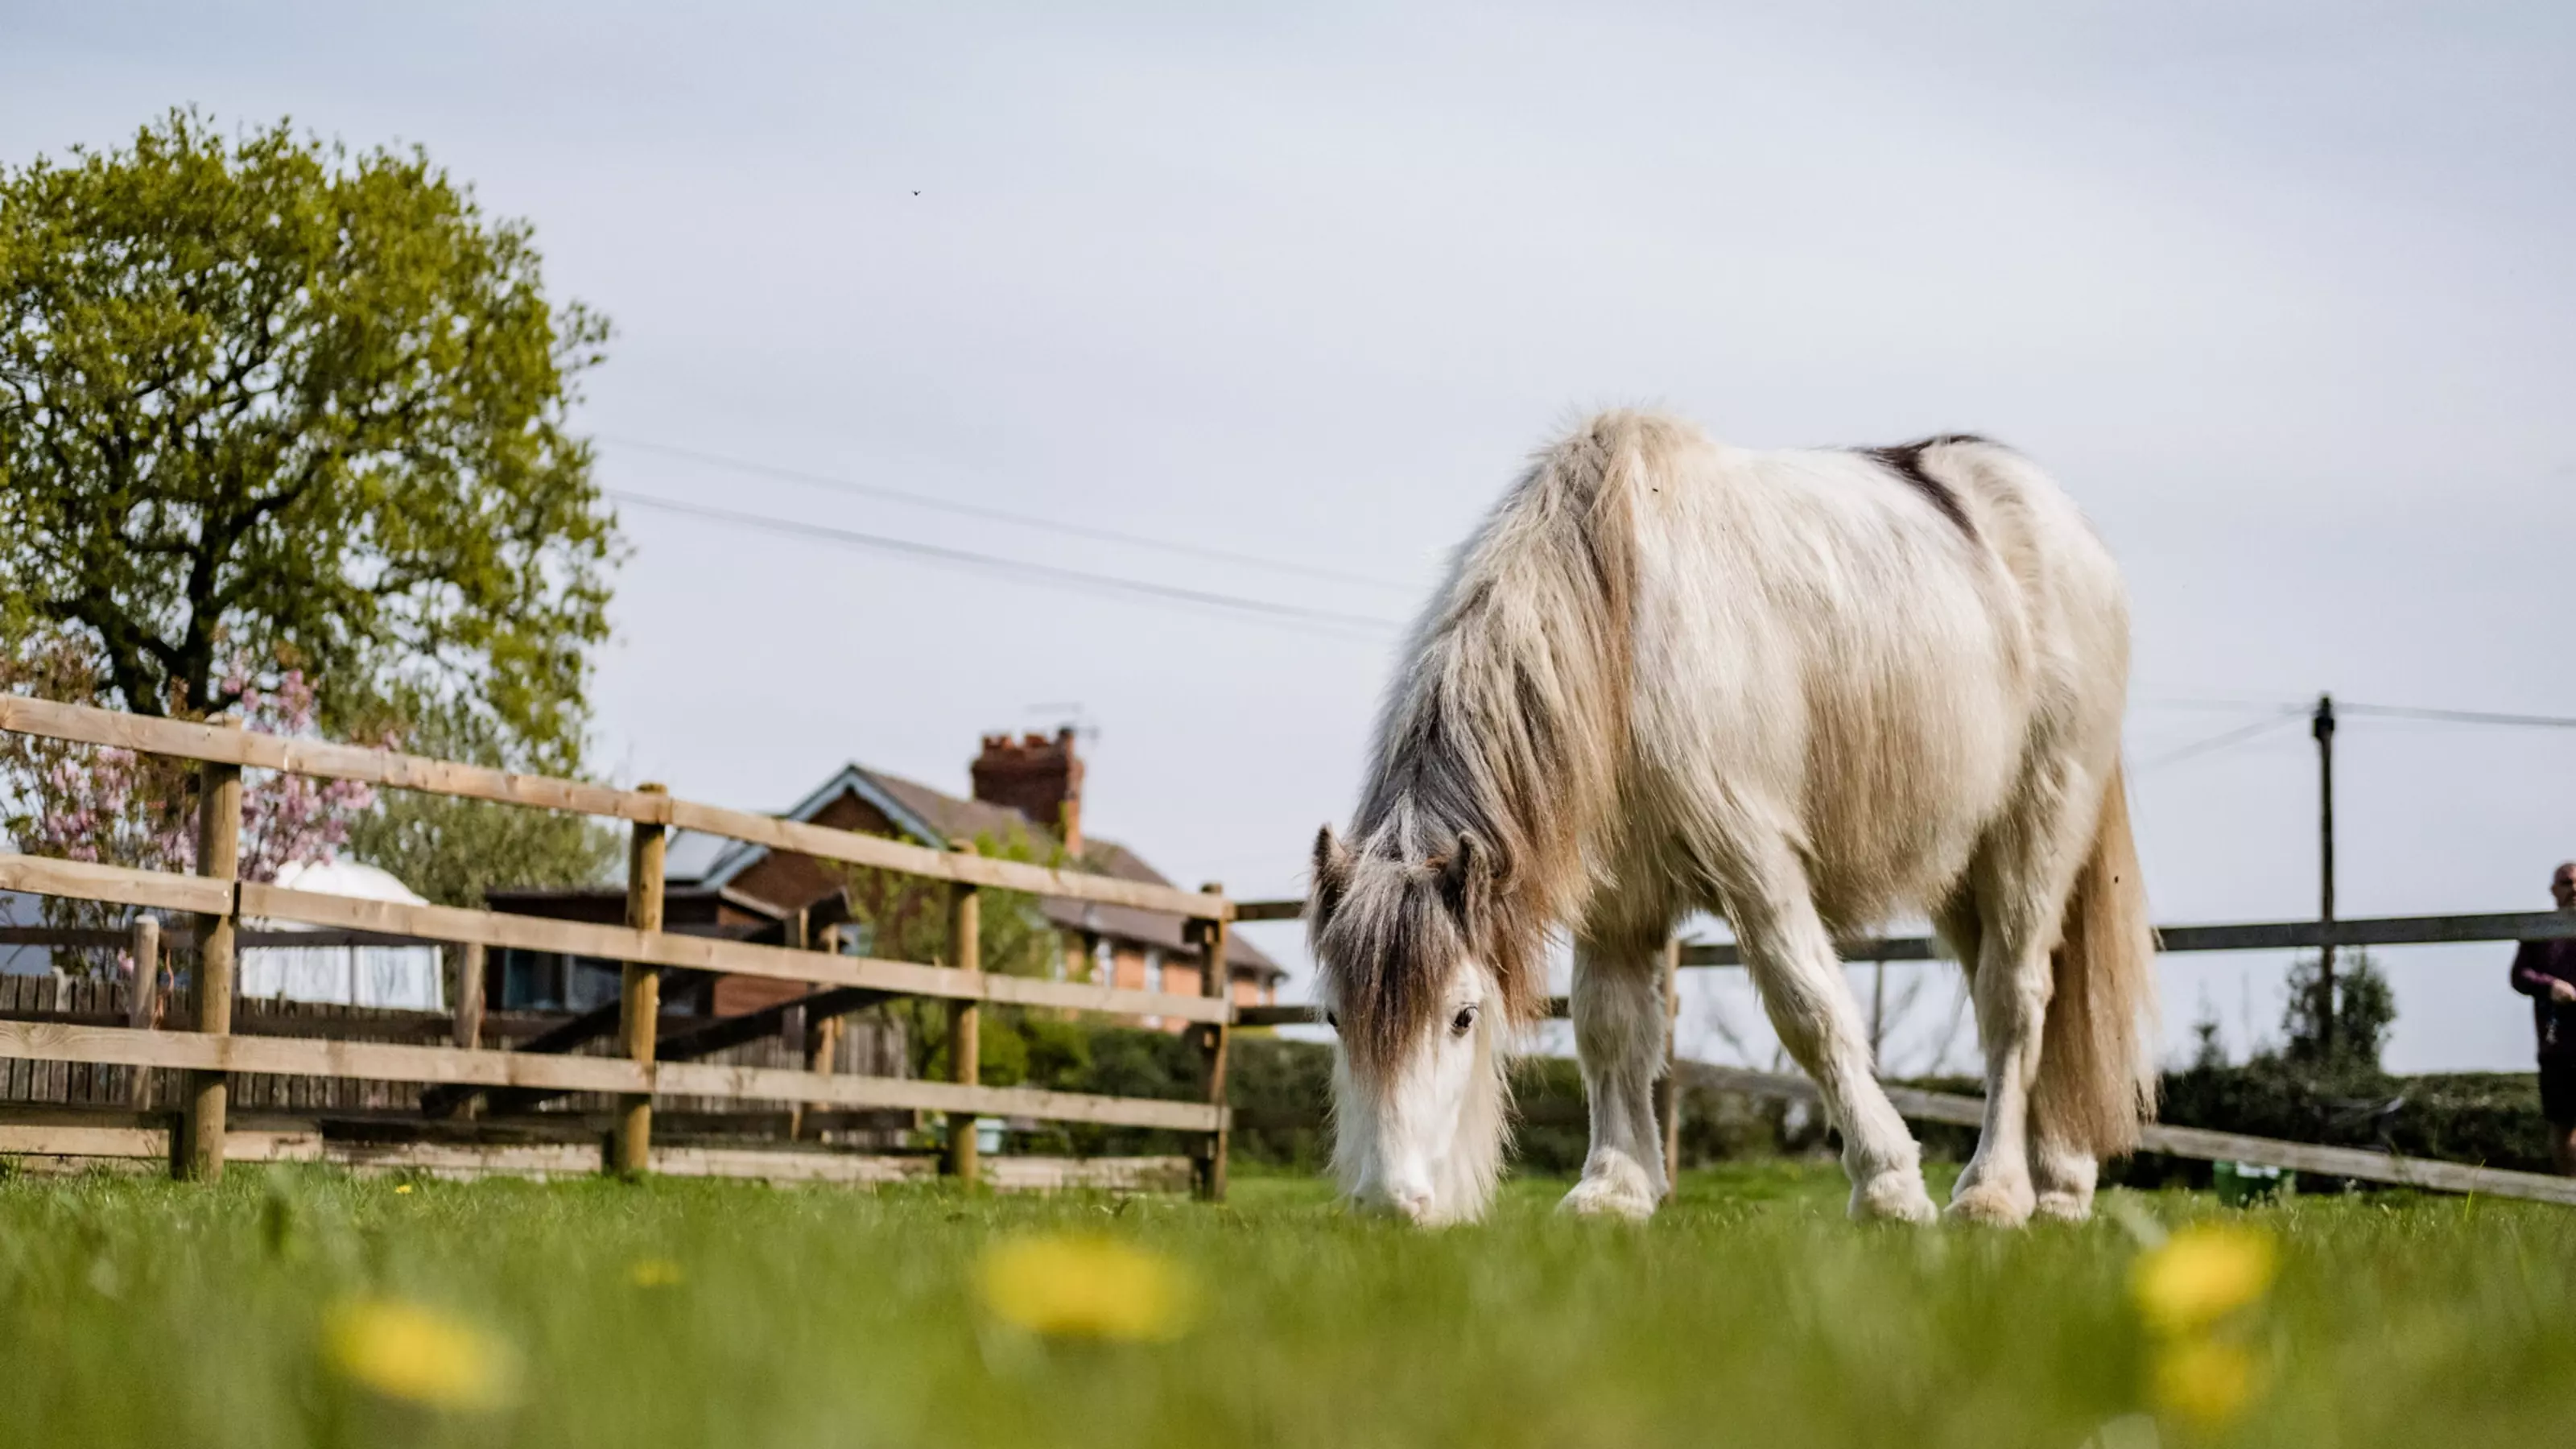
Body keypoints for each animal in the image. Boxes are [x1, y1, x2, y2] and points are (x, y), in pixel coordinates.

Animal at [1308, 412, 2153, 1222]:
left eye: (1463, 1016)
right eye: (1334, 1019)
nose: (1389, 1203)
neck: (1623, 630)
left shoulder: (1758, 862)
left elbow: (1810, 1011)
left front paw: (1887, 1183)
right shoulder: (1617, 902)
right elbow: (1610, 1029)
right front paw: (1616, 1187)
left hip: (2033, 833)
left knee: (2015, 1002)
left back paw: (1994, 1192)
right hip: (1960, 867)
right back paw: (2062, 1185)